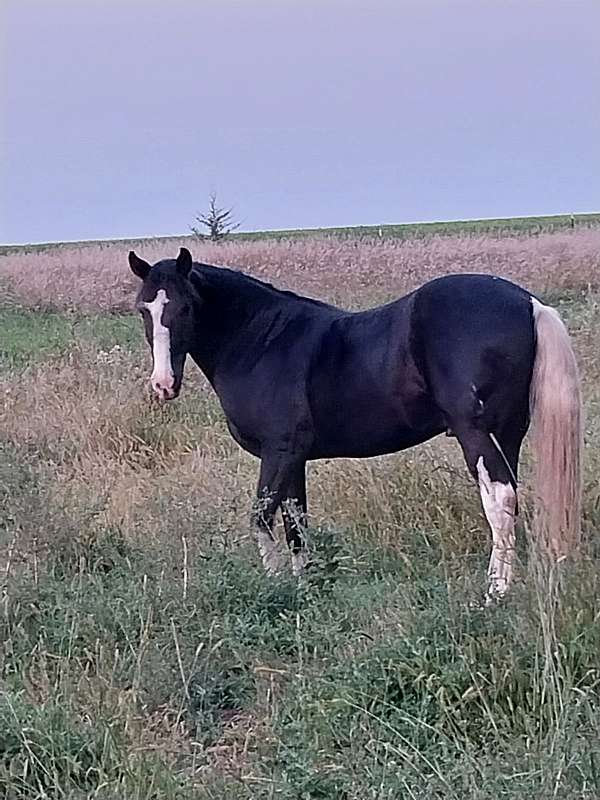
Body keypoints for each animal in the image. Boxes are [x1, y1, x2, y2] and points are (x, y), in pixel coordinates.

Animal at [128, 246, 582, 604]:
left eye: (185, 307)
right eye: (144, 309)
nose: (163, 385)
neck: (263, 341)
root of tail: (529, 303)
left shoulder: (279, 451)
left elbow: (261, 518)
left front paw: (275, 584)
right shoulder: (295, 459)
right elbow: (296, 525)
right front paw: (305, 586)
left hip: (476, 433)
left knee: (499, 502)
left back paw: (494, 594)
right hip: (508, 433)